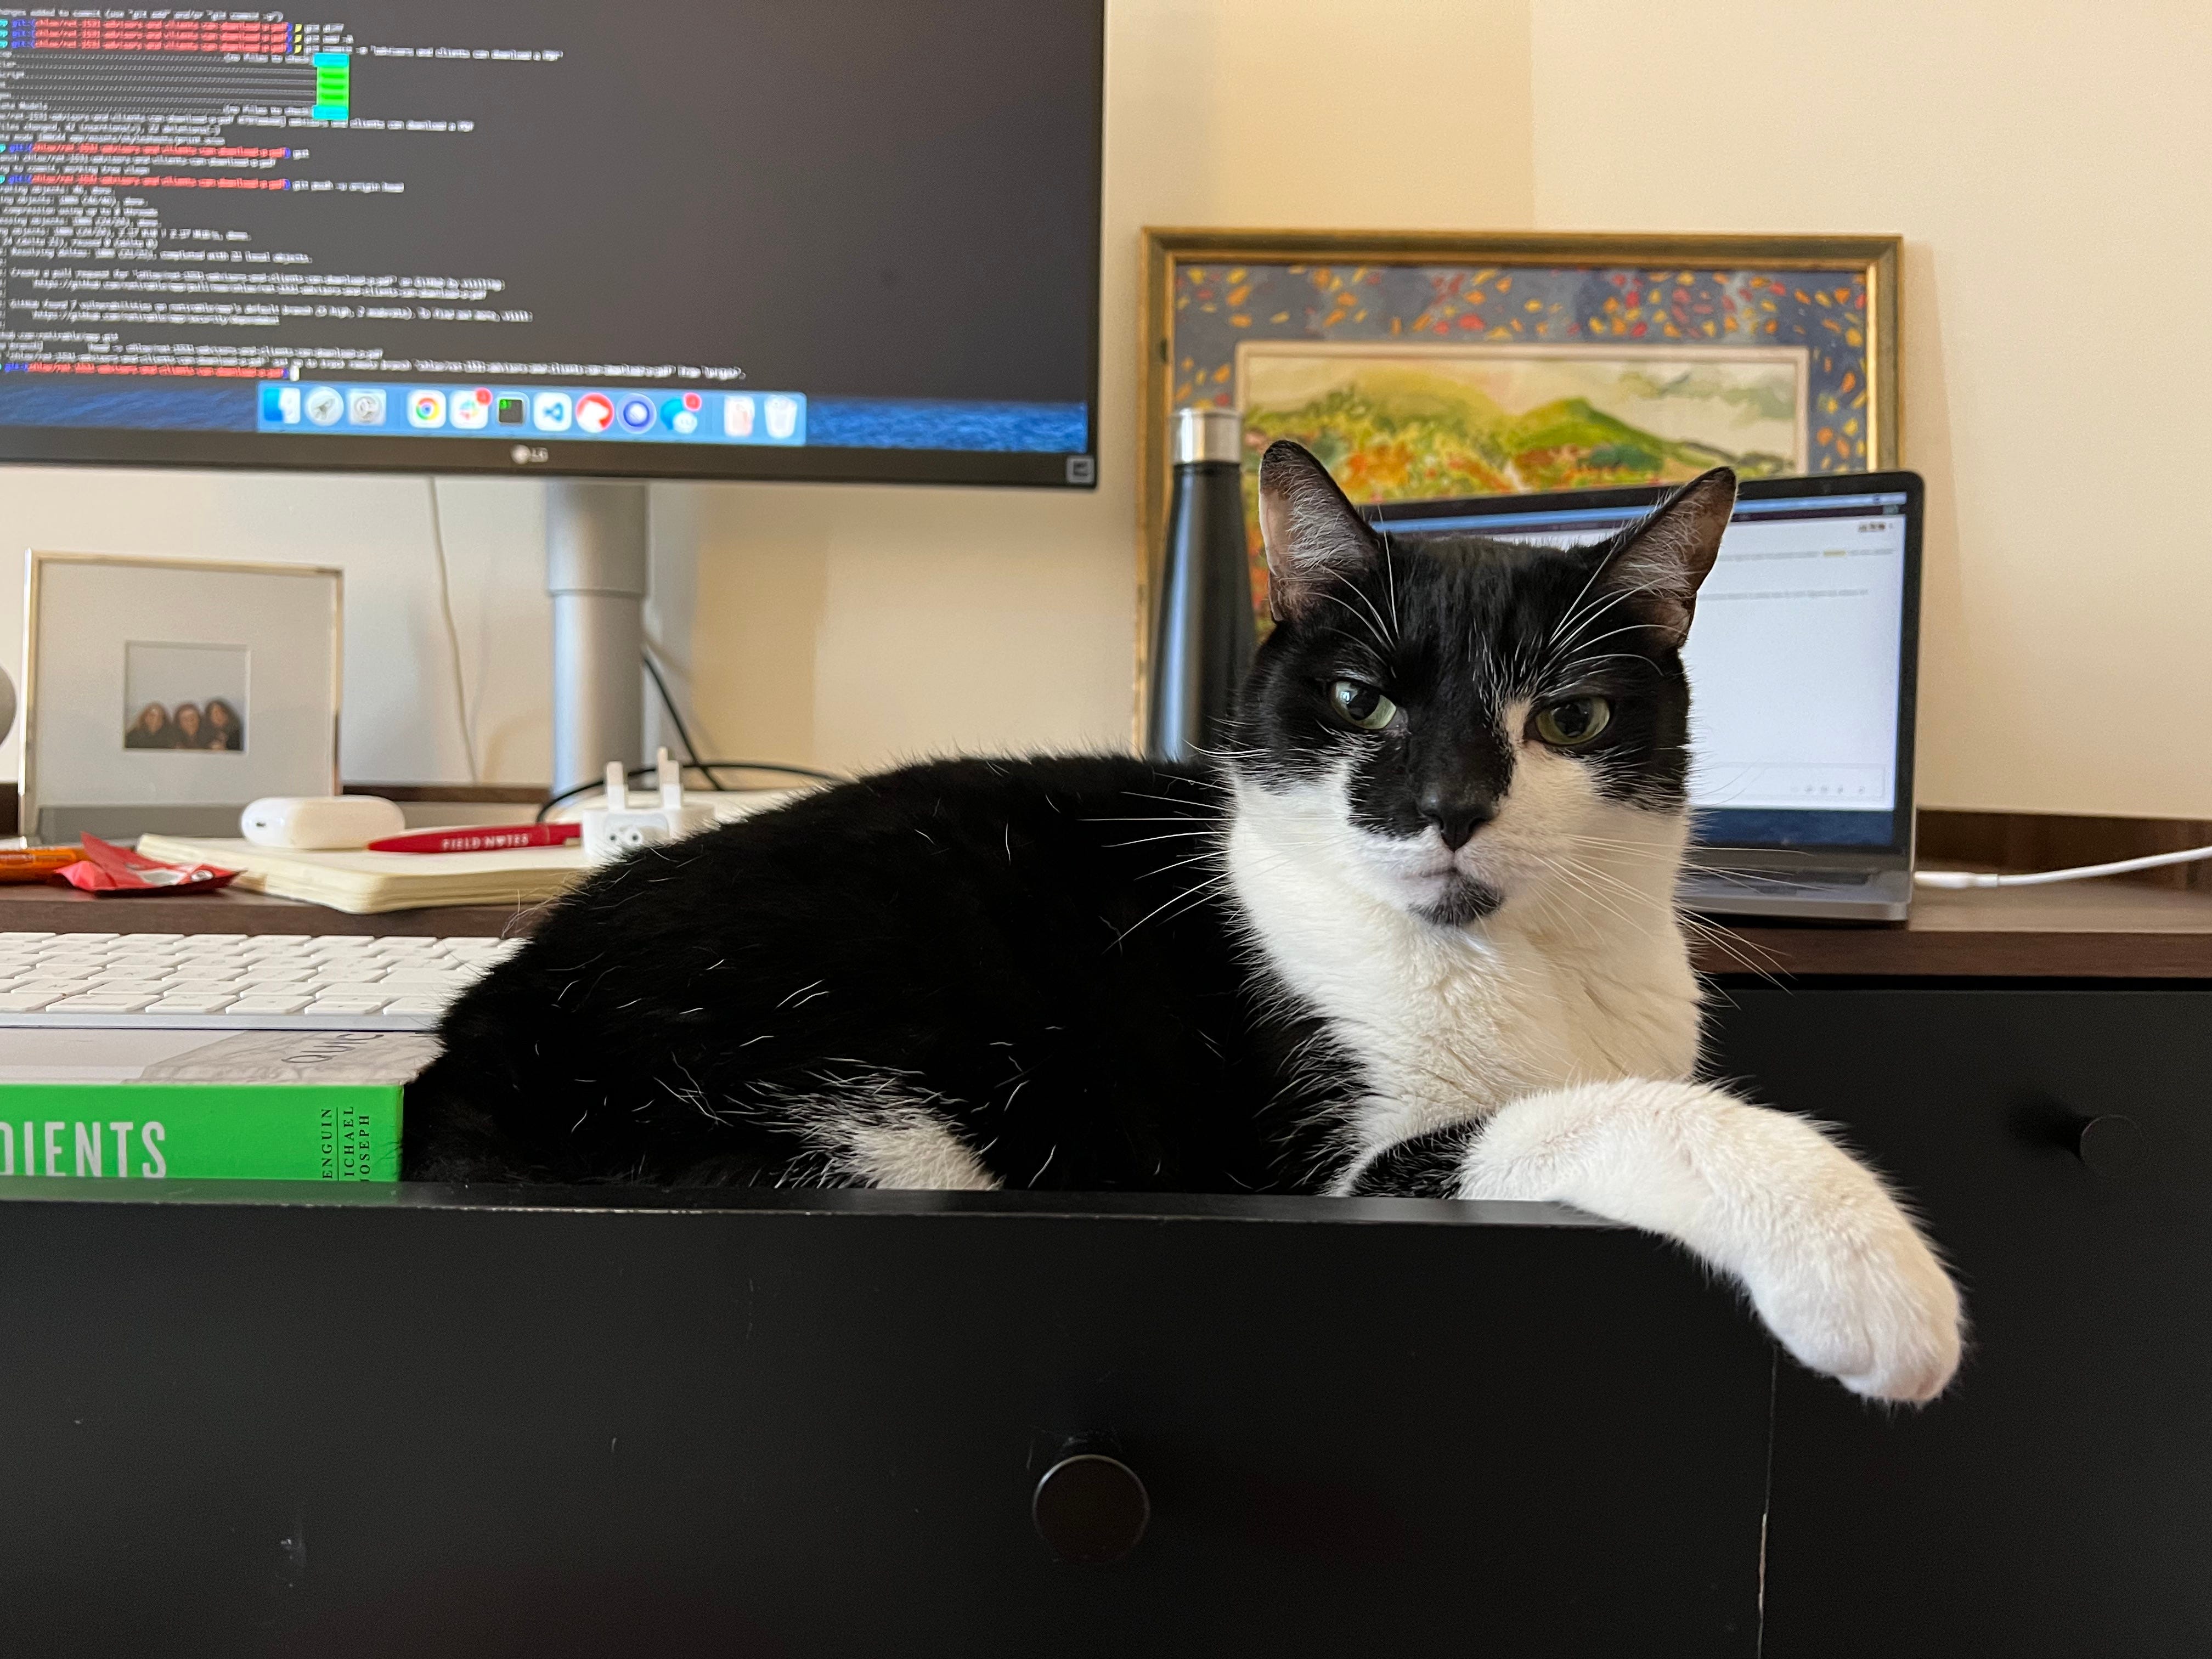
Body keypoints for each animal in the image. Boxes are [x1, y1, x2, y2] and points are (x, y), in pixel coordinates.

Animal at [407, 438, 1964, 1407]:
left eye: (1570, 719)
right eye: (1362, 704)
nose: (1449, 806)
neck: (1507, 964)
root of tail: (467, 1045)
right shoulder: (1342, 1163)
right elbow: (1594, 1116)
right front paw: (1868, 1274)